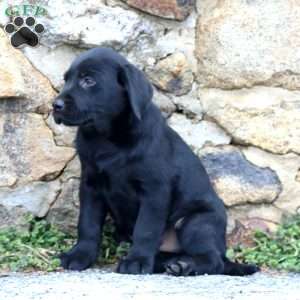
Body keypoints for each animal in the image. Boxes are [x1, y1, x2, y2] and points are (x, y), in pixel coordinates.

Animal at [52, 47, 258, 276]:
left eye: (88, 80)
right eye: (66, 80)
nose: (55, 105)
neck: (107, 139)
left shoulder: (154, 190)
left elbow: (146, 229)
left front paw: (137, 261)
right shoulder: (91, 185)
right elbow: (88, 224)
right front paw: (80, 255)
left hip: (197, 221)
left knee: (214, 260)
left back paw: (184, 265)